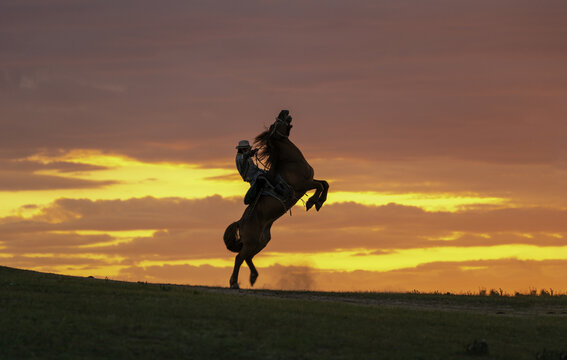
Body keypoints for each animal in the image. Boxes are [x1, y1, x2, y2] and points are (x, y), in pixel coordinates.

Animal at [222, 112, 328, 290]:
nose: (285, 111)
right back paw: (234, 283)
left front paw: (319, 202)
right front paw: (313, 202)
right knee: (239, 258)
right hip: (252, 242)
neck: (291, 161)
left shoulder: (309, 182)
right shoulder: (303, 185)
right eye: (275, 123)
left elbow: (325, 184)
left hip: (260, 242)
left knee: (247, 257)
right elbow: (320, 186)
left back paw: (253, 277)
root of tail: (240, 222)